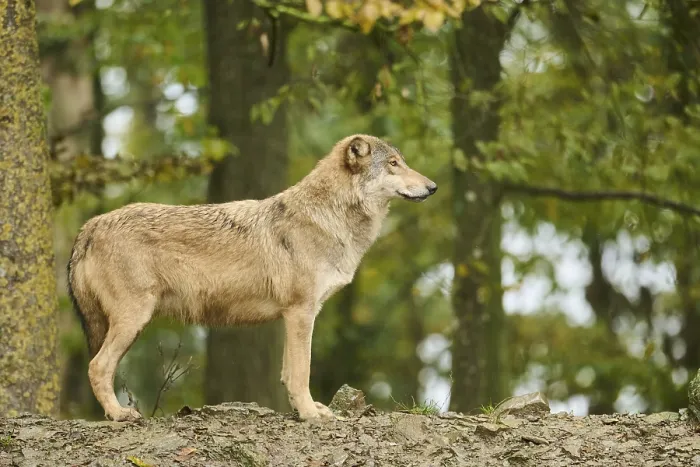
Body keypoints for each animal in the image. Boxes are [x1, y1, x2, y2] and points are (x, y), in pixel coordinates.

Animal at [67, 134, 438, 422]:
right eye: (394, 164)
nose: (433, 186)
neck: (327, 217)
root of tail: (92, 223)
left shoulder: (294, 315)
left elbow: (289, 374)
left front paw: (303, 411)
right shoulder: (301, 312)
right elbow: (302, 372)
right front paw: (310, 415)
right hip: (134, 319)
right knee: (97, 367)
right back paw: (119, 414)